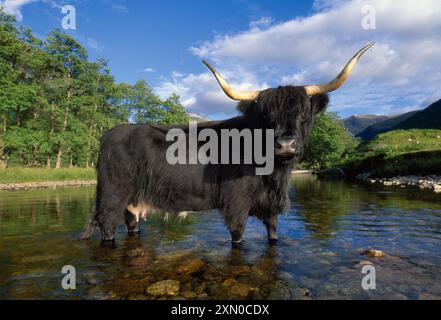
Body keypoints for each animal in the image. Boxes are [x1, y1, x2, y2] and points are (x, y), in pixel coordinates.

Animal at [81, 43, 372, 245]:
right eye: (266, 117)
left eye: (303, 115)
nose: (286, 145)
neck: (273, 175)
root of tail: (110, 133)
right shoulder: (236, 205)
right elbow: (238, 236)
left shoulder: (271, 209)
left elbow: (274, 235)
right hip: (112, 195)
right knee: (107, 225)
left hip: (133, 202)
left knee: (131, 224)